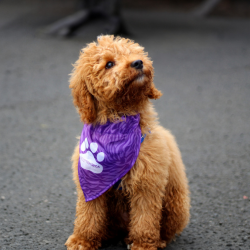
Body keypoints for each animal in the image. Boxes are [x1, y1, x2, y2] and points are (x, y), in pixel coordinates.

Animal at [65, 34, 190, 250]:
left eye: (134, 53)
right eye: (109, 64)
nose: (138, 62)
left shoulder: (147, 184)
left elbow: (145, 219)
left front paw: (143, 244)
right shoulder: (90, 184)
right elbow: (88, 215)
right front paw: (83, 240)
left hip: (176, 205)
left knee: (165, 229)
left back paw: (155, 240)